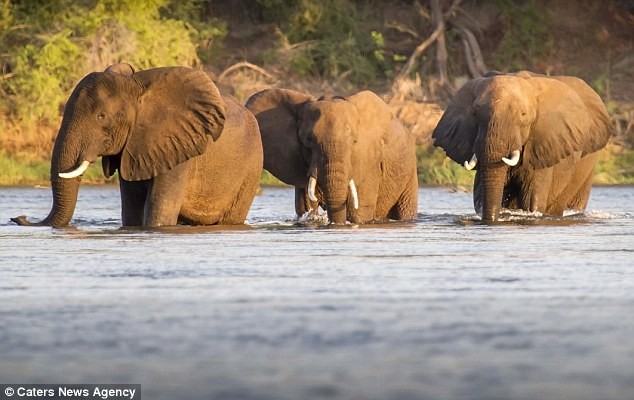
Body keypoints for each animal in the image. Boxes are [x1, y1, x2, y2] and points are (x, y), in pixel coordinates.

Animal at [10, 64, 262, 230]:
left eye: (101, 117)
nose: (18, 217)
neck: (137, 90)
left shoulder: (179, 148)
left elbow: (158, 215)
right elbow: (131, 210)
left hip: (250, 170)